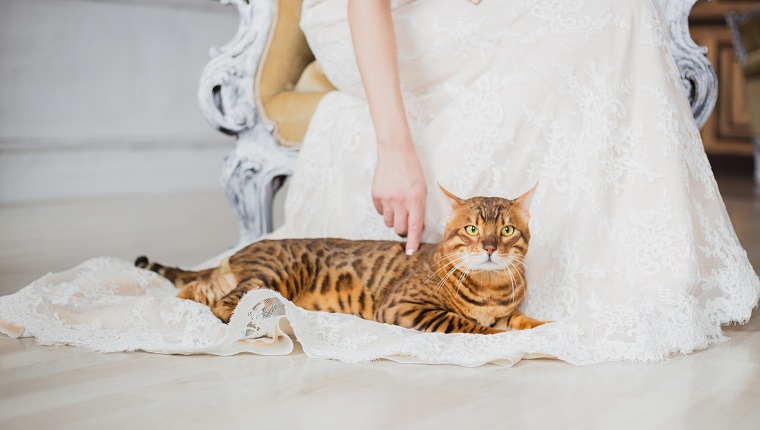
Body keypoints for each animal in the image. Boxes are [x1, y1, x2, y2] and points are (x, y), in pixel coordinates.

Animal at [135, 186, 540, 334]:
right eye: (472, 229)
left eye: (507, 231)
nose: (489, 247)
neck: (491, 288)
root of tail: (239, 253)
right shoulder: (404, 306)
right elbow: (470, 326)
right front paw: (498, 338)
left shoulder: (506, 310)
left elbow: (519, 320)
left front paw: (542, 326)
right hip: (279, 272)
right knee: (225, 304)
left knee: (197, 290)